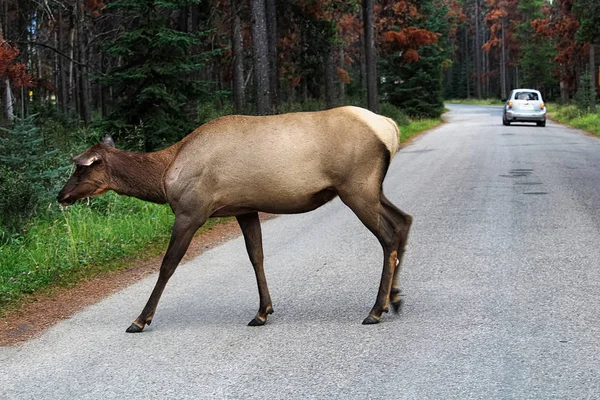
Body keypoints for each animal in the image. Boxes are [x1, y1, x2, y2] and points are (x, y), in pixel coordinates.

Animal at [57, 105, 412, 332]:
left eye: (79, 169)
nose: (61, 196)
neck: (164, 177)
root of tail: (391, 128)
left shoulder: (191, 211)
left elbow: (167, 265)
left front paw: (140, 319)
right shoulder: (244, 208)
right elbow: (257, 256)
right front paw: (263, 311)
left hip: (357, 186)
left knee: (388, 236)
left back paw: (375, 310)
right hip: (371, 189)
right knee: (404, 220)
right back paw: (394, 299)